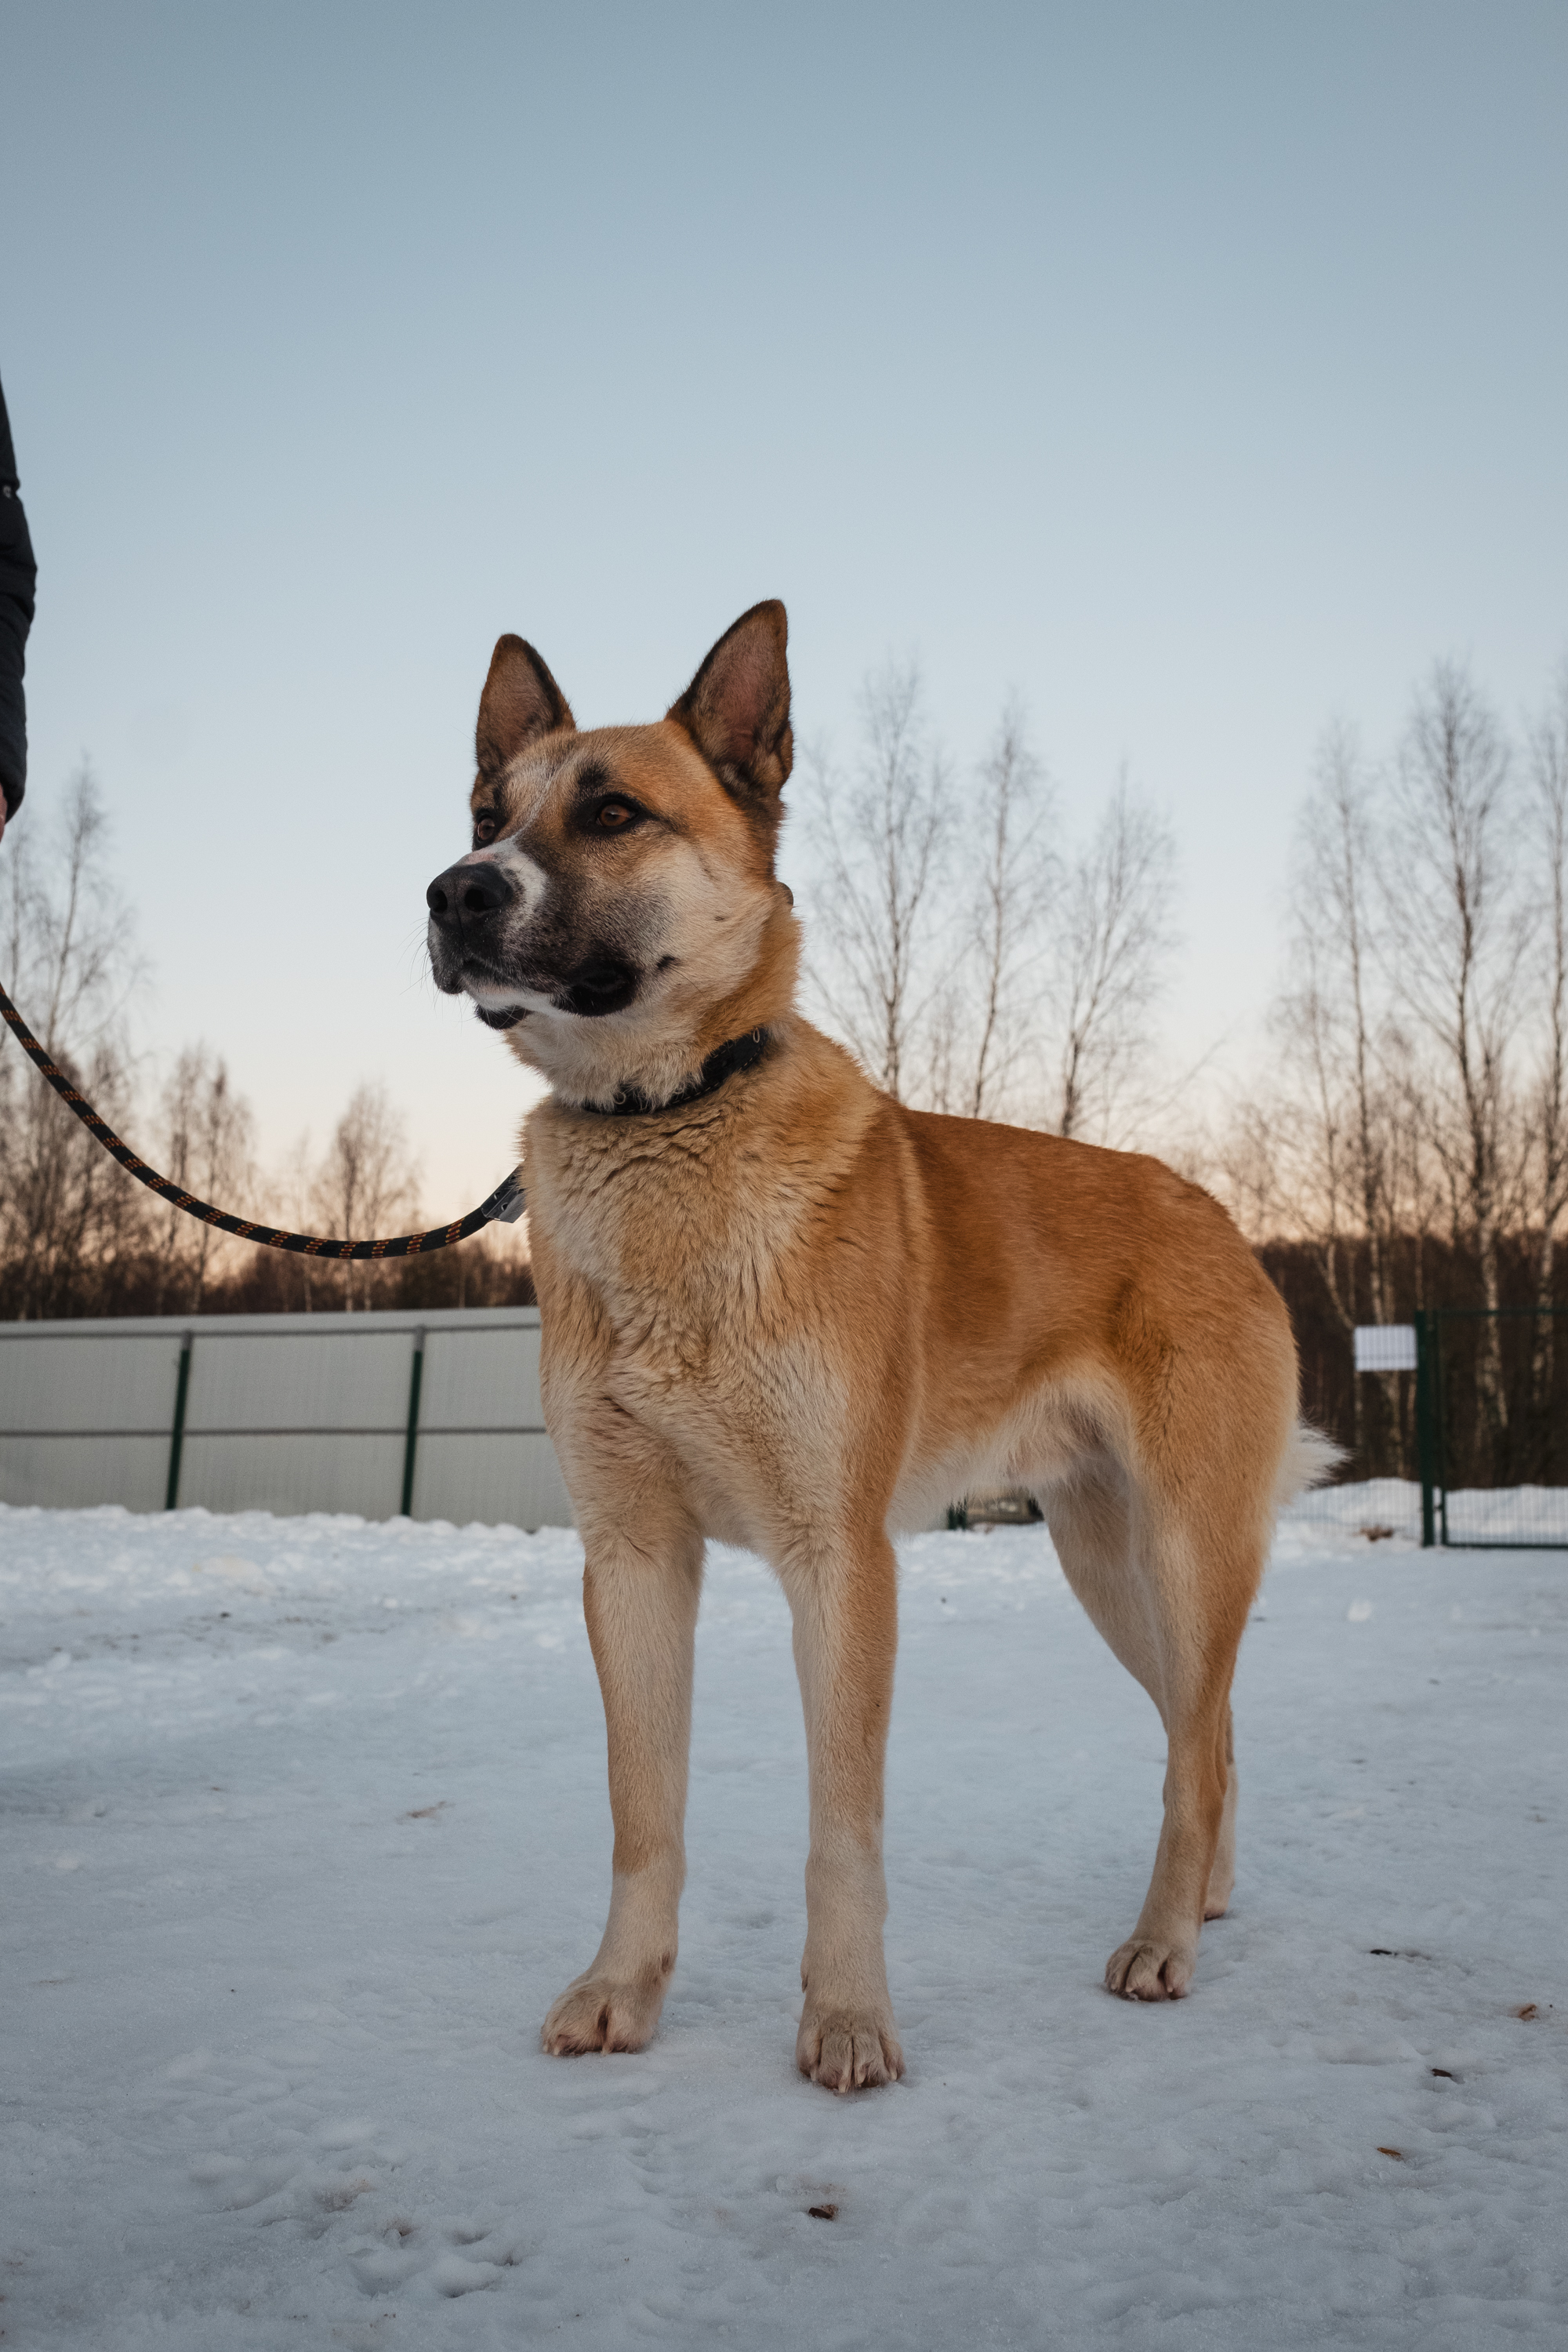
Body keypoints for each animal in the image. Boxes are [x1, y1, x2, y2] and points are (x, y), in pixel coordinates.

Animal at [420, 607, 1326, 2098]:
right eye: (488, 815)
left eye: (612, 814)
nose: (452, 891)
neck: (667, 1119)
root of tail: (1215, 1212)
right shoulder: (632, 1562)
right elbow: (641, 1816)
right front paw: (624, 1990)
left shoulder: (841, 1565)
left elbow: (841, 1830)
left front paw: (847, 2019)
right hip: (1107, 1565)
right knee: (1213, 1735)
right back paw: (1201, 1902)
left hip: (1190, 1552)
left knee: (1196, 1750)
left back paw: (1163, 1942)